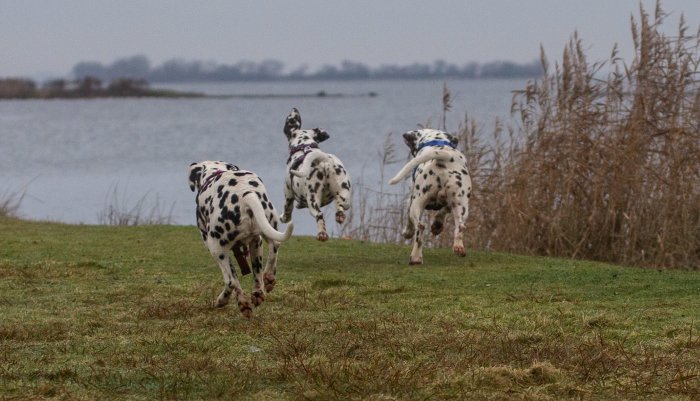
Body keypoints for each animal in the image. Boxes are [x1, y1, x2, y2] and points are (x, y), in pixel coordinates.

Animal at [187, 159, 294, 316]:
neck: (214, 172)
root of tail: (245, 194)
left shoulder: (223, 251)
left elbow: (235, 280)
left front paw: (239, 302)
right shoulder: (255, 242)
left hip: (216, 249)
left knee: (230, 282)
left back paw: (226, 300)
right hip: (265, 233)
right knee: (272, 251)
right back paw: (266, 282)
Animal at [386, 129, 474, 262]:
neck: (437, 141)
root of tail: (445, 157)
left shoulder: (410, 203)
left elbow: (409, 223)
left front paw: (407, 232)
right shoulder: (449, 203)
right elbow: (443, 212)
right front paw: (437, 225)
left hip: (417, 204)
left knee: (420, 227)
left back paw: (416, 257)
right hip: (461, 205)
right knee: (460, 227)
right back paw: (458, 247)